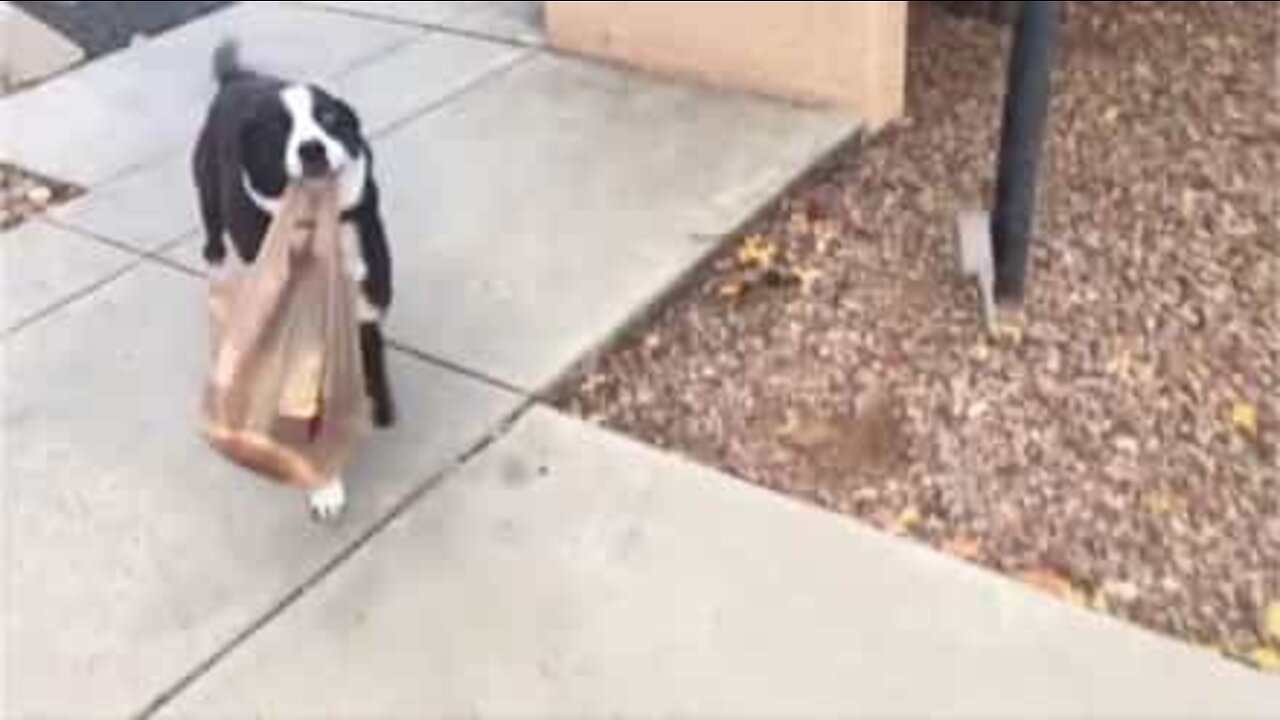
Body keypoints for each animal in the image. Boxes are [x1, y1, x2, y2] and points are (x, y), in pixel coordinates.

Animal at [192, 40, 391, 515]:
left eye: (330, 119)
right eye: (279, 130)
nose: (312, 148)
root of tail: (238, 78)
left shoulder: (366, 299)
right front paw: (324, 484)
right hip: (208, 195)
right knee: (213, 242)